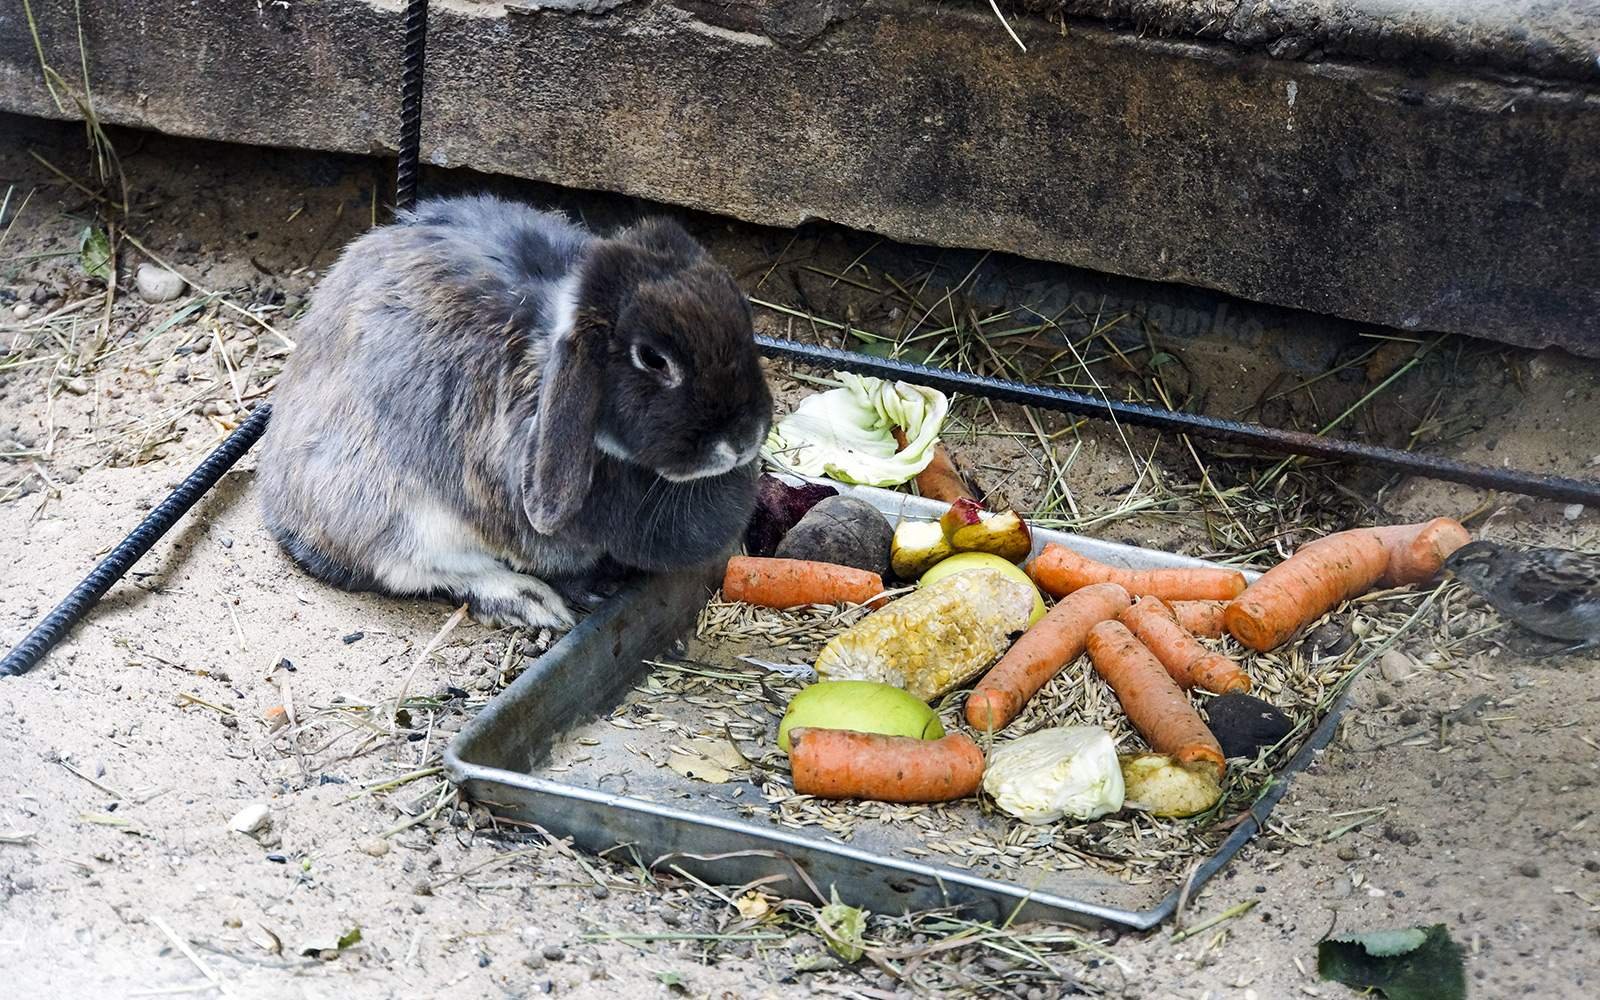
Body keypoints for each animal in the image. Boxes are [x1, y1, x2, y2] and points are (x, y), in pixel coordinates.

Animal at [254, 194, 768, 627]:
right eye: (653, 359)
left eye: (743, 314)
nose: (744, 440)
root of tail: (280, 507)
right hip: (389, 507)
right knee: (411, 567)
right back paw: (531, 603)